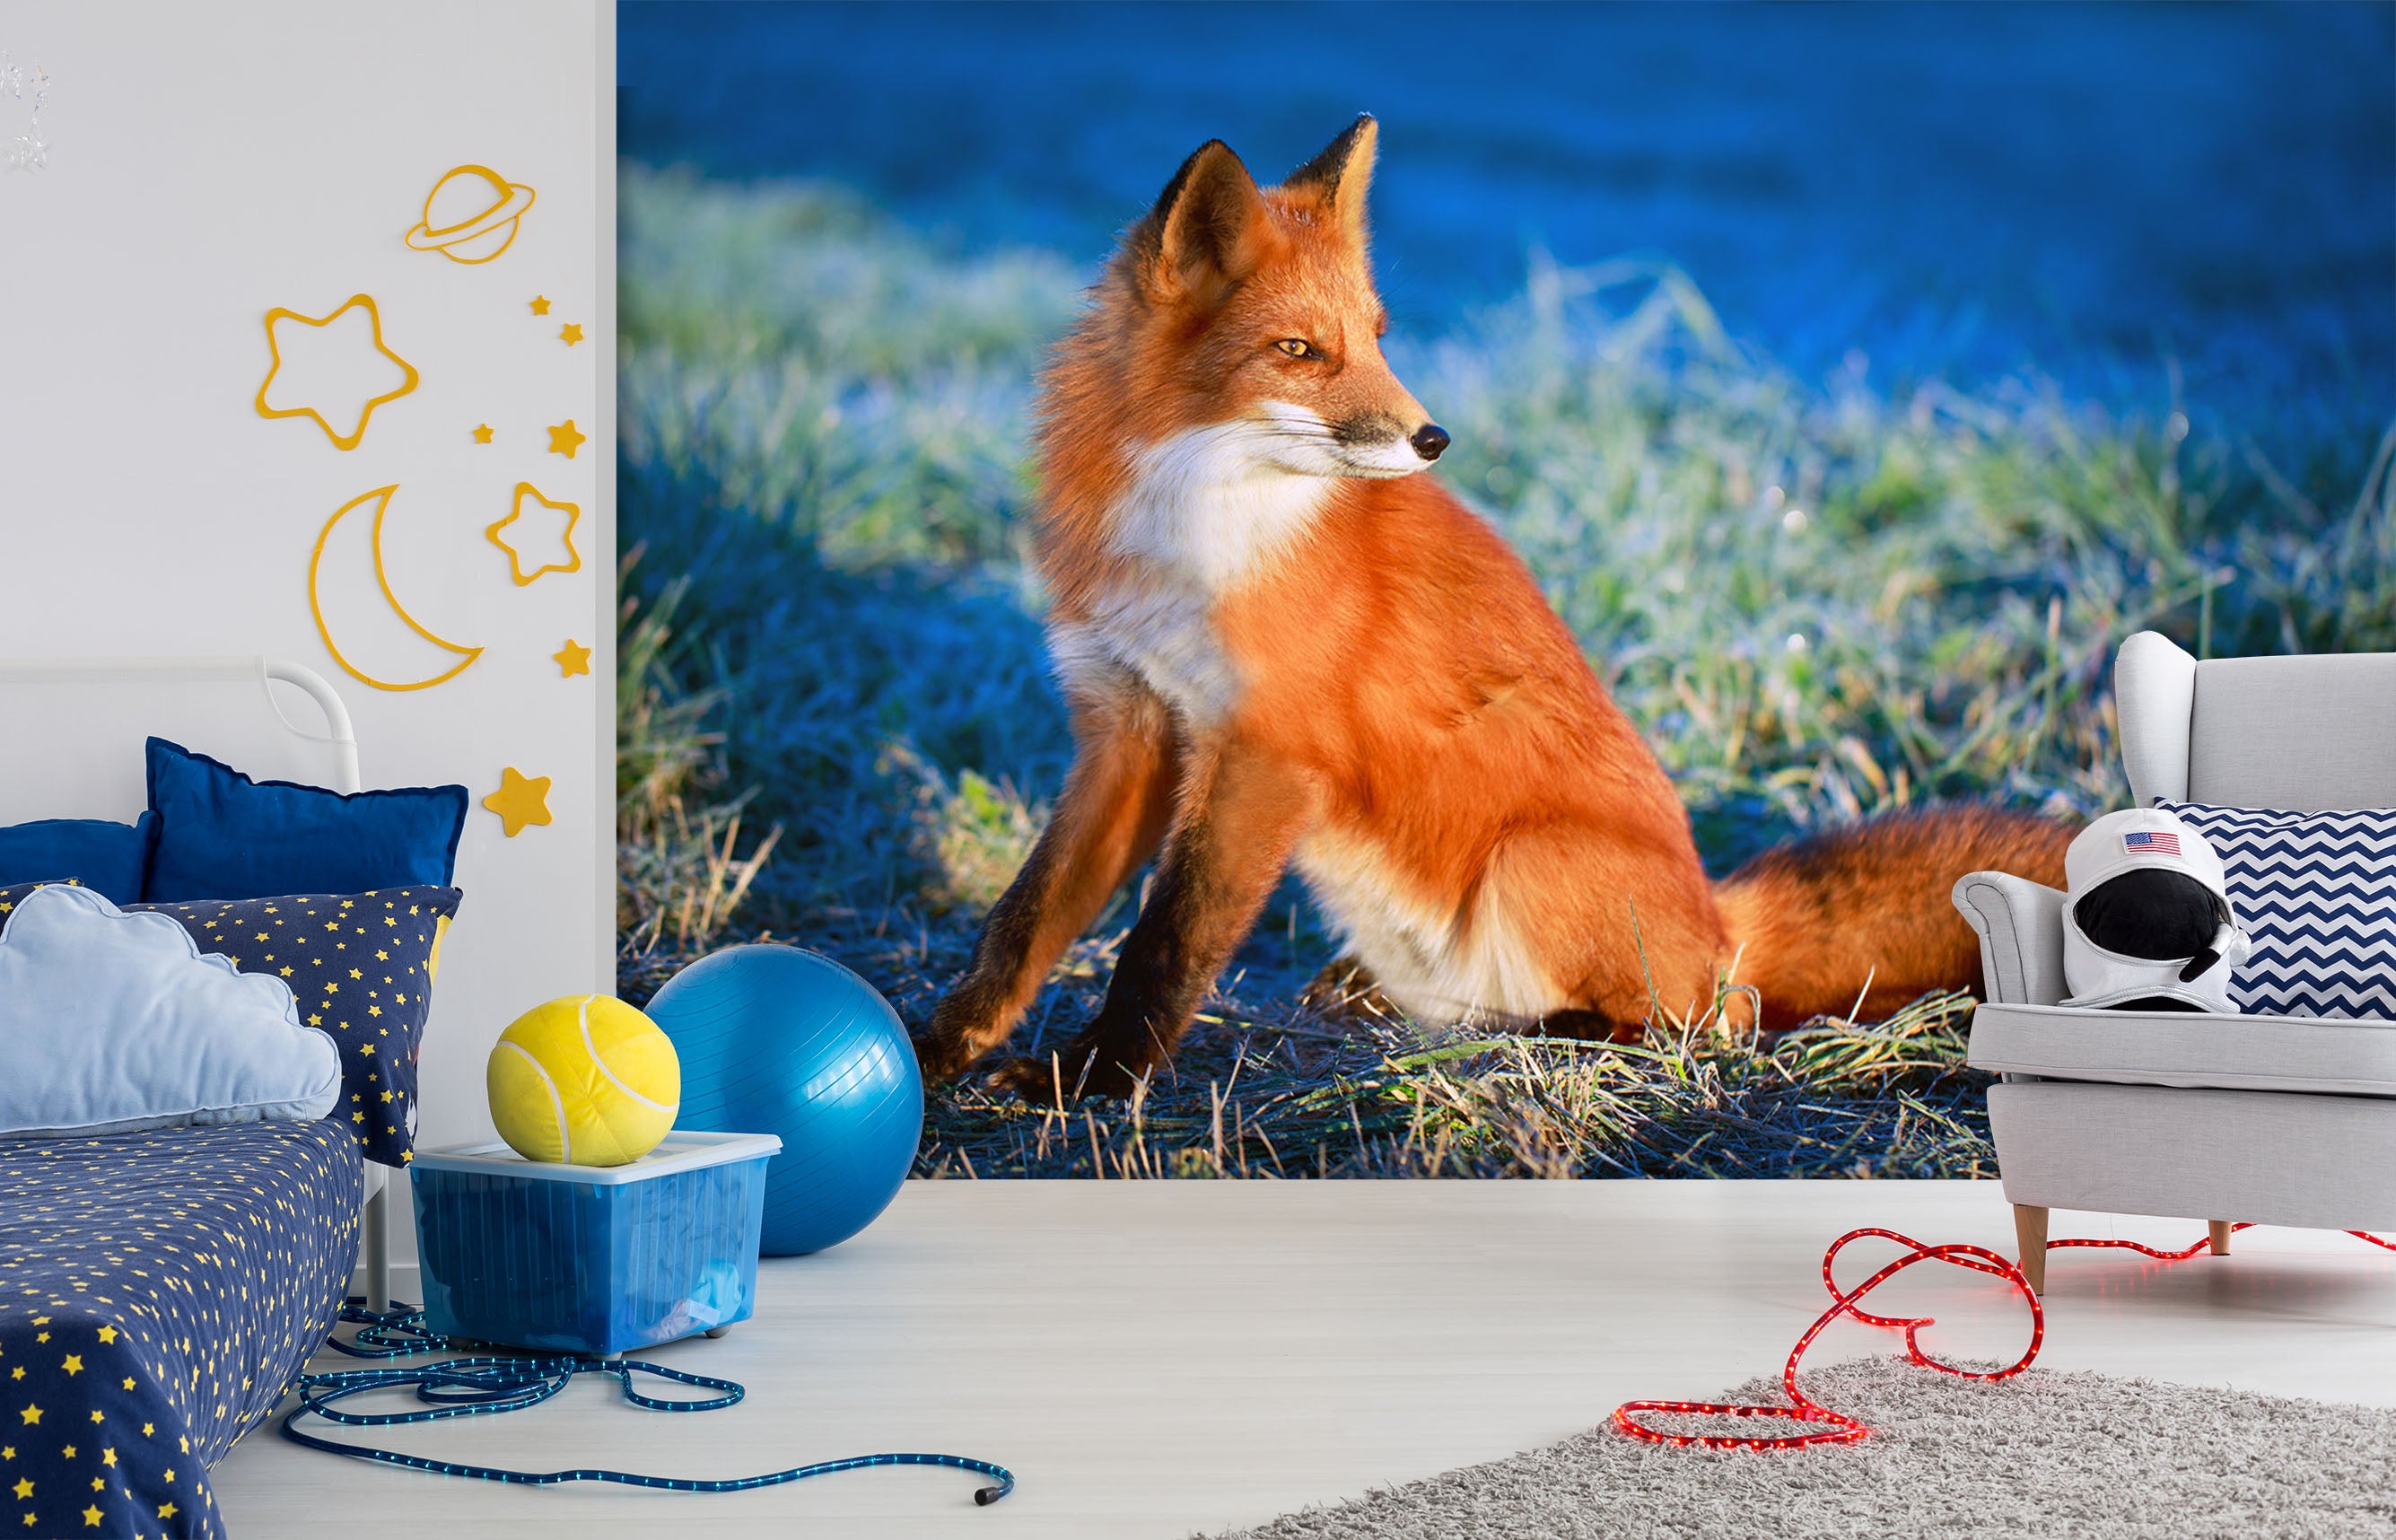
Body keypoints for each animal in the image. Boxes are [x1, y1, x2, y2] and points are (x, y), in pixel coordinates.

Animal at [916, 116, 2072, 1099]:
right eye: (1299, 351)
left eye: (1378, 334)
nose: (1433, 439)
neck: (1190, 534)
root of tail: (1718, 915)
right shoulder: (1128, 726)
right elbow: (1023, 920)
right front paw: (939, 1053)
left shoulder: (1262, 751)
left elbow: (1171, 941)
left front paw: (1093, 1084)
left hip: (1533, 862)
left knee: (1712, 1021)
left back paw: (1563, 1035)